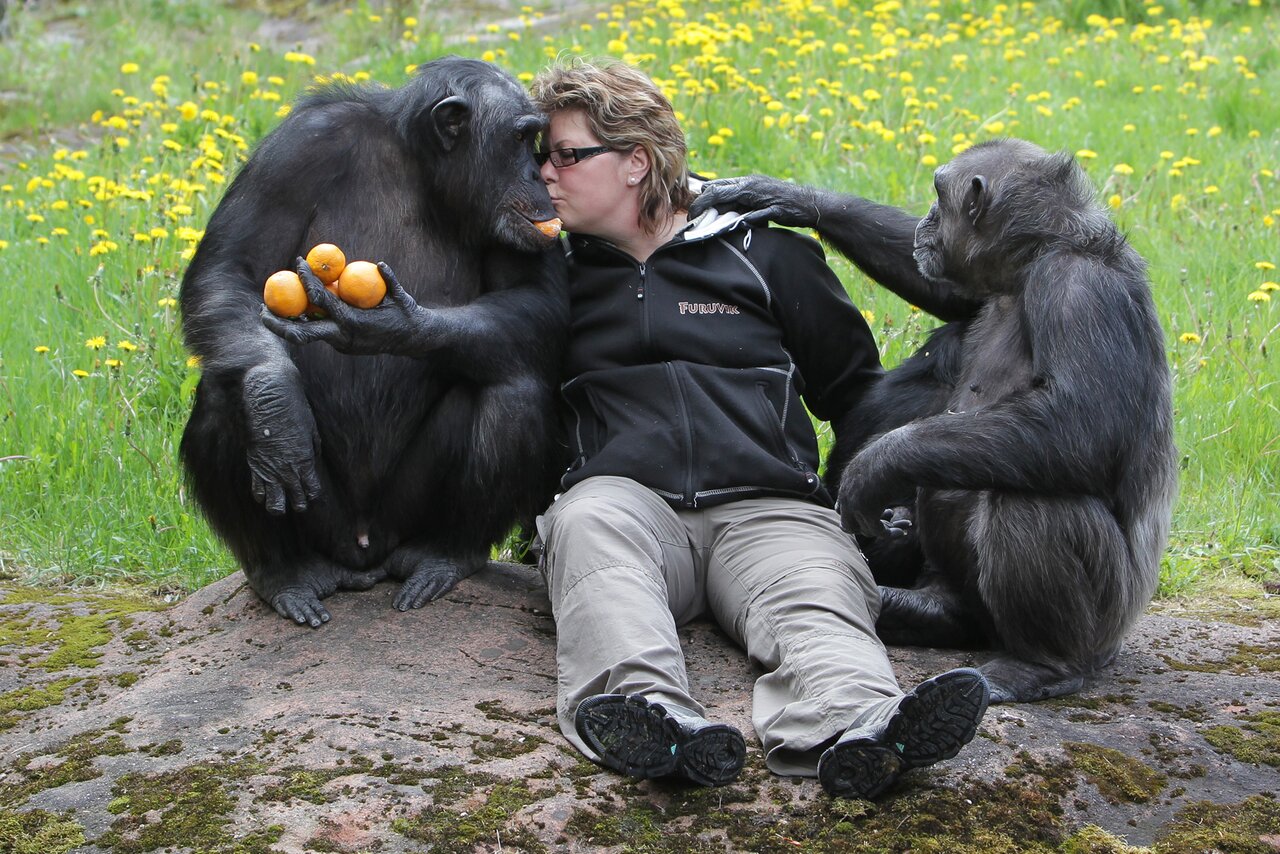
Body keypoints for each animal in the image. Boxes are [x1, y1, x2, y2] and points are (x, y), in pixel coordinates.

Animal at [177, 55, 568, 627]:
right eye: (520, 139)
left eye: (535, 140)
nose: (538, 174)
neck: (421, 169)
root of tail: (364, 554)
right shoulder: (296, 150)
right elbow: (231, 269)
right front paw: (276, 410)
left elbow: (538, 296)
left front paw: (396, 326)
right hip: (324, 522)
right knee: (224, 393)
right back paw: (285, 572)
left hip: (402, 517)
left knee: (513, 385)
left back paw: (446, 555)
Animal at [696, 138, 1172, 701]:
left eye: (940, 197)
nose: (926, 216)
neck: (1029, 267)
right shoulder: (980, 288)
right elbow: (949, 295)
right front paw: (783, 196)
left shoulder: (1081, 292)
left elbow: (1081, 424)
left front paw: (874, 468)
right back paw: (922, 608)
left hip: (1107, 621)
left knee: (1031, 503)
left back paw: (1043, 665)